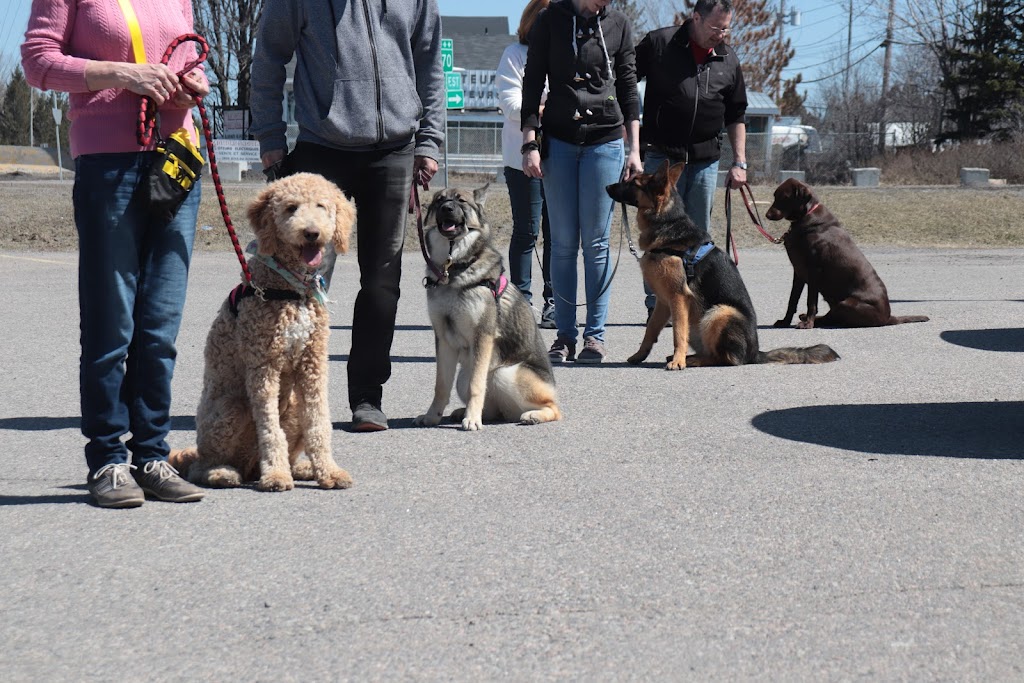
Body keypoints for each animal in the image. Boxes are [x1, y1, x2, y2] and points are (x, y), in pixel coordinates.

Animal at [169, 174, 354, 489]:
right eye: (291, 208)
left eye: (321, 206)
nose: (312, 233)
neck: (292, 290)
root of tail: (250, 467)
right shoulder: (263, 365)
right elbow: (269, 428)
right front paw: (276, 475)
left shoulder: (313, 362)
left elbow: (319, 421)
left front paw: (329, 471)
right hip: (231, 407)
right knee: (201, 466)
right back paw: (224, 473)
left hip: (292, 405)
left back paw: (300, 468)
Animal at [411, 185, 565, 432]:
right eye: (439, 200)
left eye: (461, 201)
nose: (447, 208)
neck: (453, 269)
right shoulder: (443, 340)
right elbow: (441, 386)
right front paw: (431, 416)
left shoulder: (482, 337)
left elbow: (476, 385)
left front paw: (472, 420)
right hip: (464, 376)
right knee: (493, 409)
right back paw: (462, 412)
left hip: (505, 373)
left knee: (553, 407)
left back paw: (532, 415)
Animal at [770, 178, 929, 329]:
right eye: (775, 196)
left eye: (784, 197)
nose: (767, 215)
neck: (805, 216)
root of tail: (888, 317)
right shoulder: (798, 271)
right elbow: (793, 299)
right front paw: (785, 321)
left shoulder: (813, 271)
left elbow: (811, 302)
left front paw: (808, 324)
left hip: (845, 303)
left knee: (837, 318)